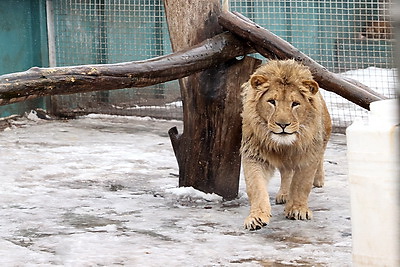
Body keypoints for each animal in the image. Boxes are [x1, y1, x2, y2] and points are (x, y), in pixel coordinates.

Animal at [241, 59, 332, 231]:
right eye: (271, 102)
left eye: (295, 104)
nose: (283, 125)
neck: (284, 146)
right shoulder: (254, 154)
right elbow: (256, 187)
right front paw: (256, 217)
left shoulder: (309, 155)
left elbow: (301, 184)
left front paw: (297, 209)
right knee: (287, 172)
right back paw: (284, 194)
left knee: (320, 157)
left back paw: (318, 180)